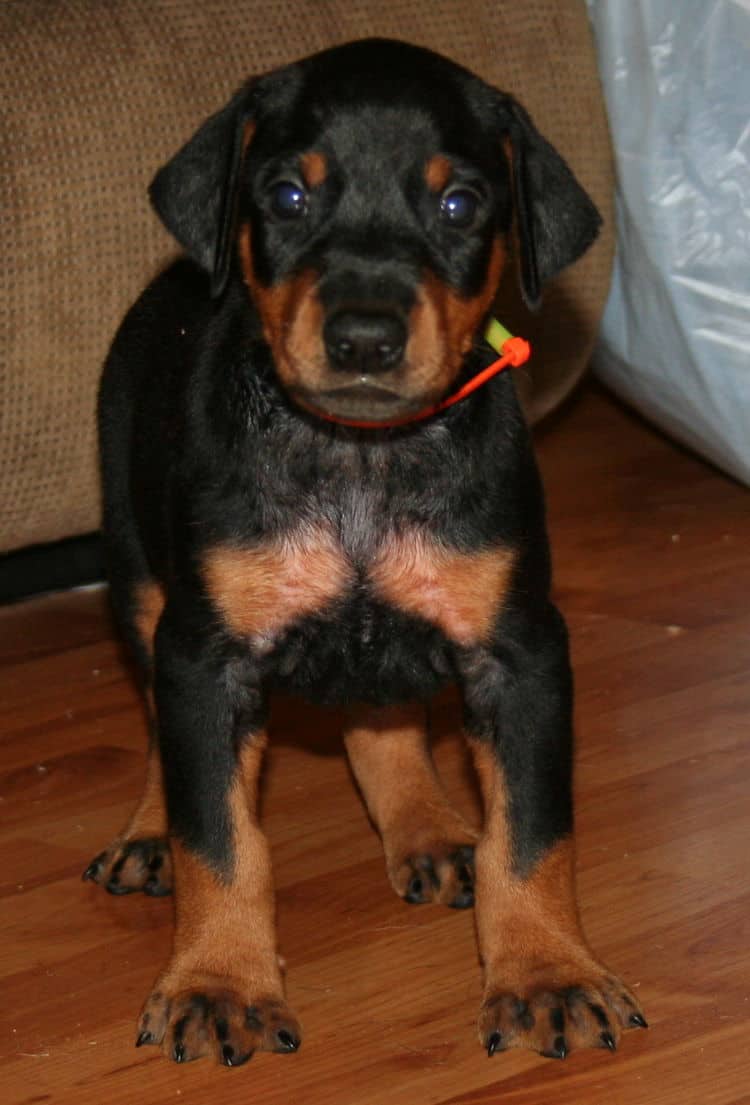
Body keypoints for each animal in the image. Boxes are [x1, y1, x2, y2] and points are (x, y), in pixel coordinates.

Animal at [80, 38, 645, 1065]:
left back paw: (425, 827)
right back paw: (147, 830)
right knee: (157, 728)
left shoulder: (522, 650)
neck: (359, 454)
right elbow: (217, 833)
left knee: (380, 713)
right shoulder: (205, 652)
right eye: (286, 195)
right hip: (139, 573)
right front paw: (219, 981)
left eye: (460, 203)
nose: (366, 338)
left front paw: (548, 974)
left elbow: (533, 836)